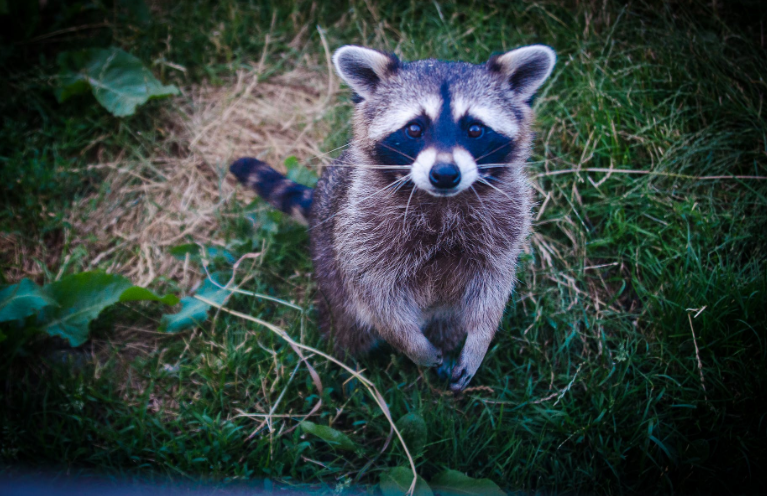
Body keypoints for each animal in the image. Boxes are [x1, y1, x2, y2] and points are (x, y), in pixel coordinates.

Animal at [230, 44, 555, 391]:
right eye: (414, 128)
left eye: (475, 129)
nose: (445, 174)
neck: (441, 201)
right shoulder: (361, 232)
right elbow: (376, 298)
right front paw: (411, 344)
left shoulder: (505, 224)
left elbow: (493, 287)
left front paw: (480, 339)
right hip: (328, 263)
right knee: (347, 325)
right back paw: (345, 366)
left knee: (450, 322)